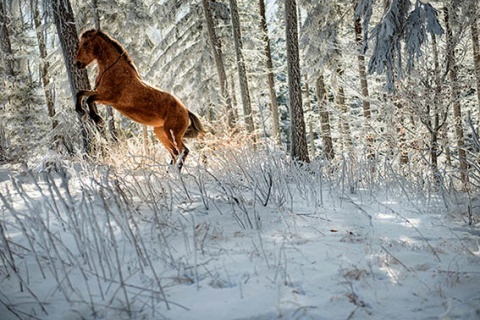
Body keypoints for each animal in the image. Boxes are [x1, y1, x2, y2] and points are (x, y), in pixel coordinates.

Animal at [74, 28, 204, 171]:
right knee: (175, 153)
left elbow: (89, 99)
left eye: (85, 44)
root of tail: (186, 111)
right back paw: (169, 172)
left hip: (172, 134)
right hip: (161, 133)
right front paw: (80, 111)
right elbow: (81, 93)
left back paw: (175, 172)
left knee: (183, 151)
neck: (113, 71)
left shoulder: (109, 98)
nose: (77, 63)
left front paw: (97, 119)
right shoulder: (100, 93)